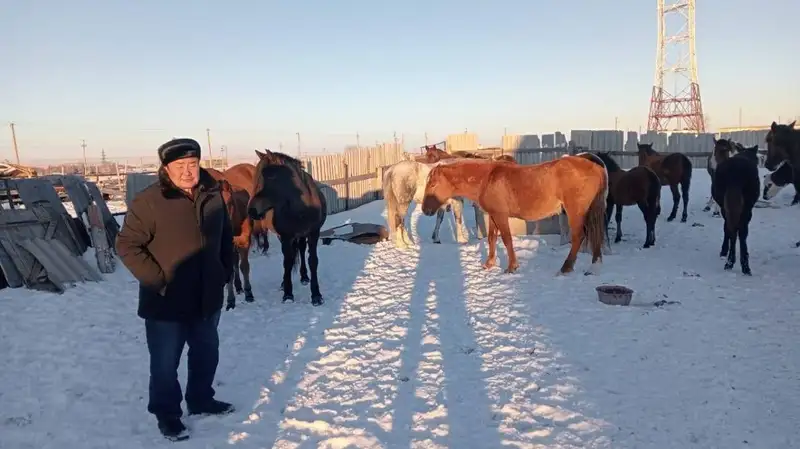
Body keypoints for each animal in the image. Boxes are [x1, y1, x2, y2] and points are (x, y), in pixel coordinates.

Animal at [248, 149, 326, 306]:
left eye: (271, 176)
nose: (252, 210)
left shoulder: (314, 233)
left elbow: (313, 261)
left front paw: (316, 295)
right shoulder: (285, 236)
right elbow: (287, 262)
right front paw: (288, 294)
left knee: (301, 249)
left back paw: (304, 277)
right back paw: (285, 283)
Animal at [422, 158, 604, 276]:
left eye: (433, 184)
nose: (425, 210)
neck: (486, 179)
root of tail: (597, 168)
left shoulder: (501, 216)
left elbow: (507, 239)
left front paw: (511, 267)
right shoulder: (493, 216)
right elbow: (491, 238)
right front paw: (489, 263)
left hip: (575, 212)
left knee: (578, 236)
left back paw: (565, 268)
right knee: (596, 236)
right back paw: (594, 267)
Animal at [708, 138, 760, 274]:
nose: (712, 164)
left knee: (735, 231)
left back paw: (735, 263)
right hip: (746, 209)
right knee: (740, 232)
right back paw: (740, 264)